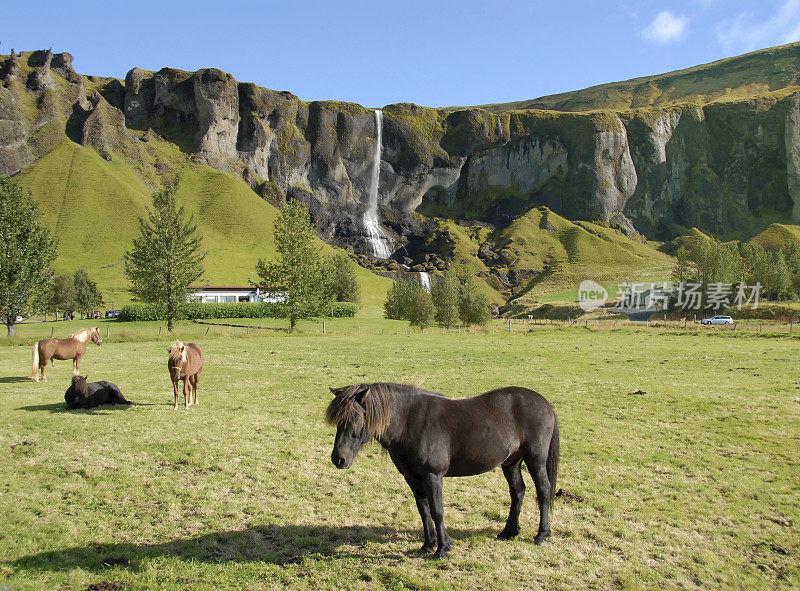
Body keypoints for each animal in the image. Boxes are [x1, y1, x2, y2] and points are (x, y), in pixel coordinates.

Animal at [328, 384, 560, 560]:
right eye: (338, 421)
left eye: (355, 420)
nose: (338, 459)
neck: (410, 423)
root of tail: (545, 404)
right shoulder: (413, 478)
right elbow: (424, 511)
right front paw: (428, 545)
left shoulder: (433, 476)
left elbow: (437, 511)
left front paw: (442, 549)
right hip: (511, 462)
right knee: (518, 492)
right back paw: (509, 531)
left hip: (535, 460)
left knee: (543, 491)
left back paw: (542, 534)